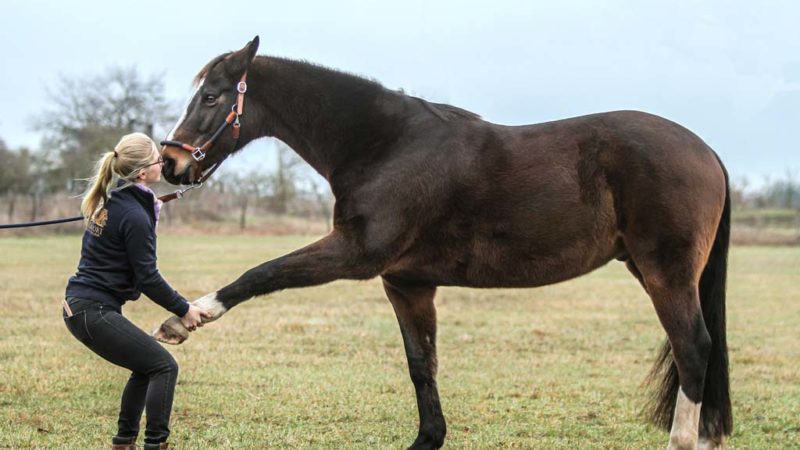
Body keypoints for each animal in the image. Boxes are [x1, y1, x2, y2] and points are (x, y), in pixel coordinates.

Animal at [152, 36, 732, 450]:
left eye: (210, 97)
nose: (172, 163)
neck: (387, 146)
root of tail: (706, 151)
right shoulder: (407, 282)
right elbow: (421, 365)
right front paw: (429, 437)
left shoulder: (354, 254)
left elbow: (261, 273)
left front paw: (187, 318)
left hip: (665, 273)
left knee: (693, 349)